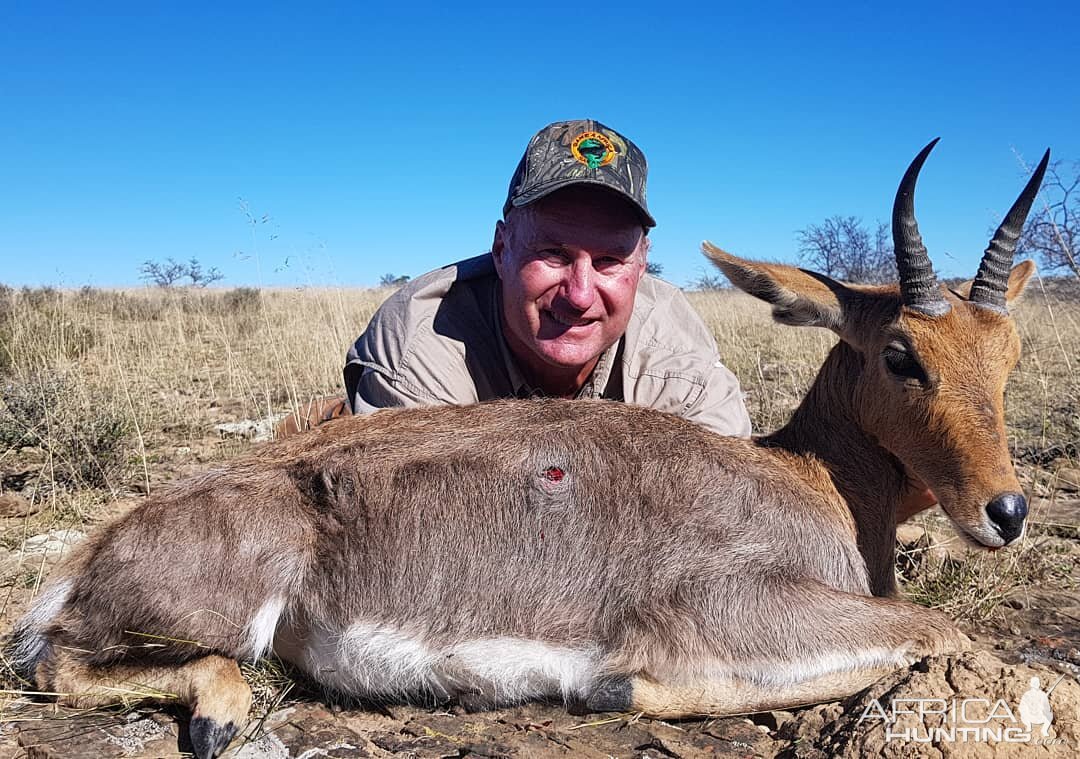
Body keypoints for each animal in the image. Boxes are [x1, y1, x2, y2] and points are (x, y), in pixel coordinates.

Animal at [8, 139, 1049, 755]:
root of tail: (91, 550)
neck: (808, 475)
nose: (1004, 511)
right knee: (56, 662)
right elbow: (939, 628)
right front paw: (622, 687)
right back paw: (218, 713)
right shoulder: (721, 607)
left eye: (1010, 350)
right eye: (901, 353)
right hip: (210, 615)